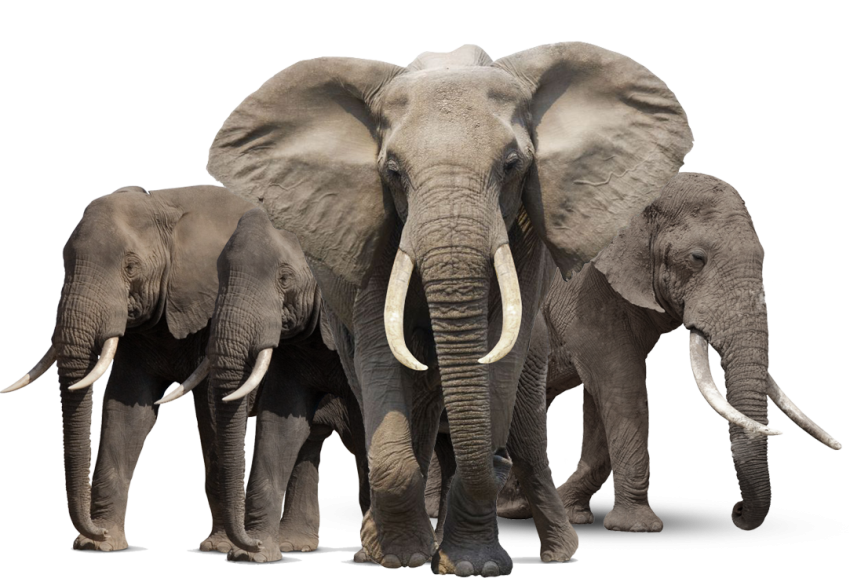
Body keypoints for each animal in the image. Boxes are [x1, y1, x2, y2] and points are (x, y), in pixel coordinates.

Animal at [1, 184, 255, 552]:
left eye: (131, 267)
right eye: (63, 261)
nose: (94, 531)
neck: (168, 204)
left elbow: (213, 407)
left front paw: (219, 547)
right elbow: (127, 408)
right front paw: (99, 544)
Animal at [158, 207, 370, 562]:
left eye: (285, 279)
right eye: (219, 277)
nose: (247, 543)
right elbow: (281, 426)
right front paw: (254, 555)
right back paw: (295, 545)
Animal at [206, 41, 693, 575]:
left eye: (512, 165)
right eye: (393, 172)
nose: (497, 460)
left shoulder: (526, 237)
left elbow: (500, 353)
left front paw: (471, 566)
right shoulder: (376, 229)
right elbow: (381, 352)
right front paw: (403, 557)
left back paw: (557, 554)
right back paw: (379, 550)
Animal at [494, 172, 843, 532]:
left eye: (762, 258)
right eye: (696, 258)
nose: (737, 510)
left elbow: (600, 399)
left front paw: (575, 516)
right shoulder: (583, 291)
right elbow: (621, 386)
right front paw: (636, 529)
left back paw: (513, 508)